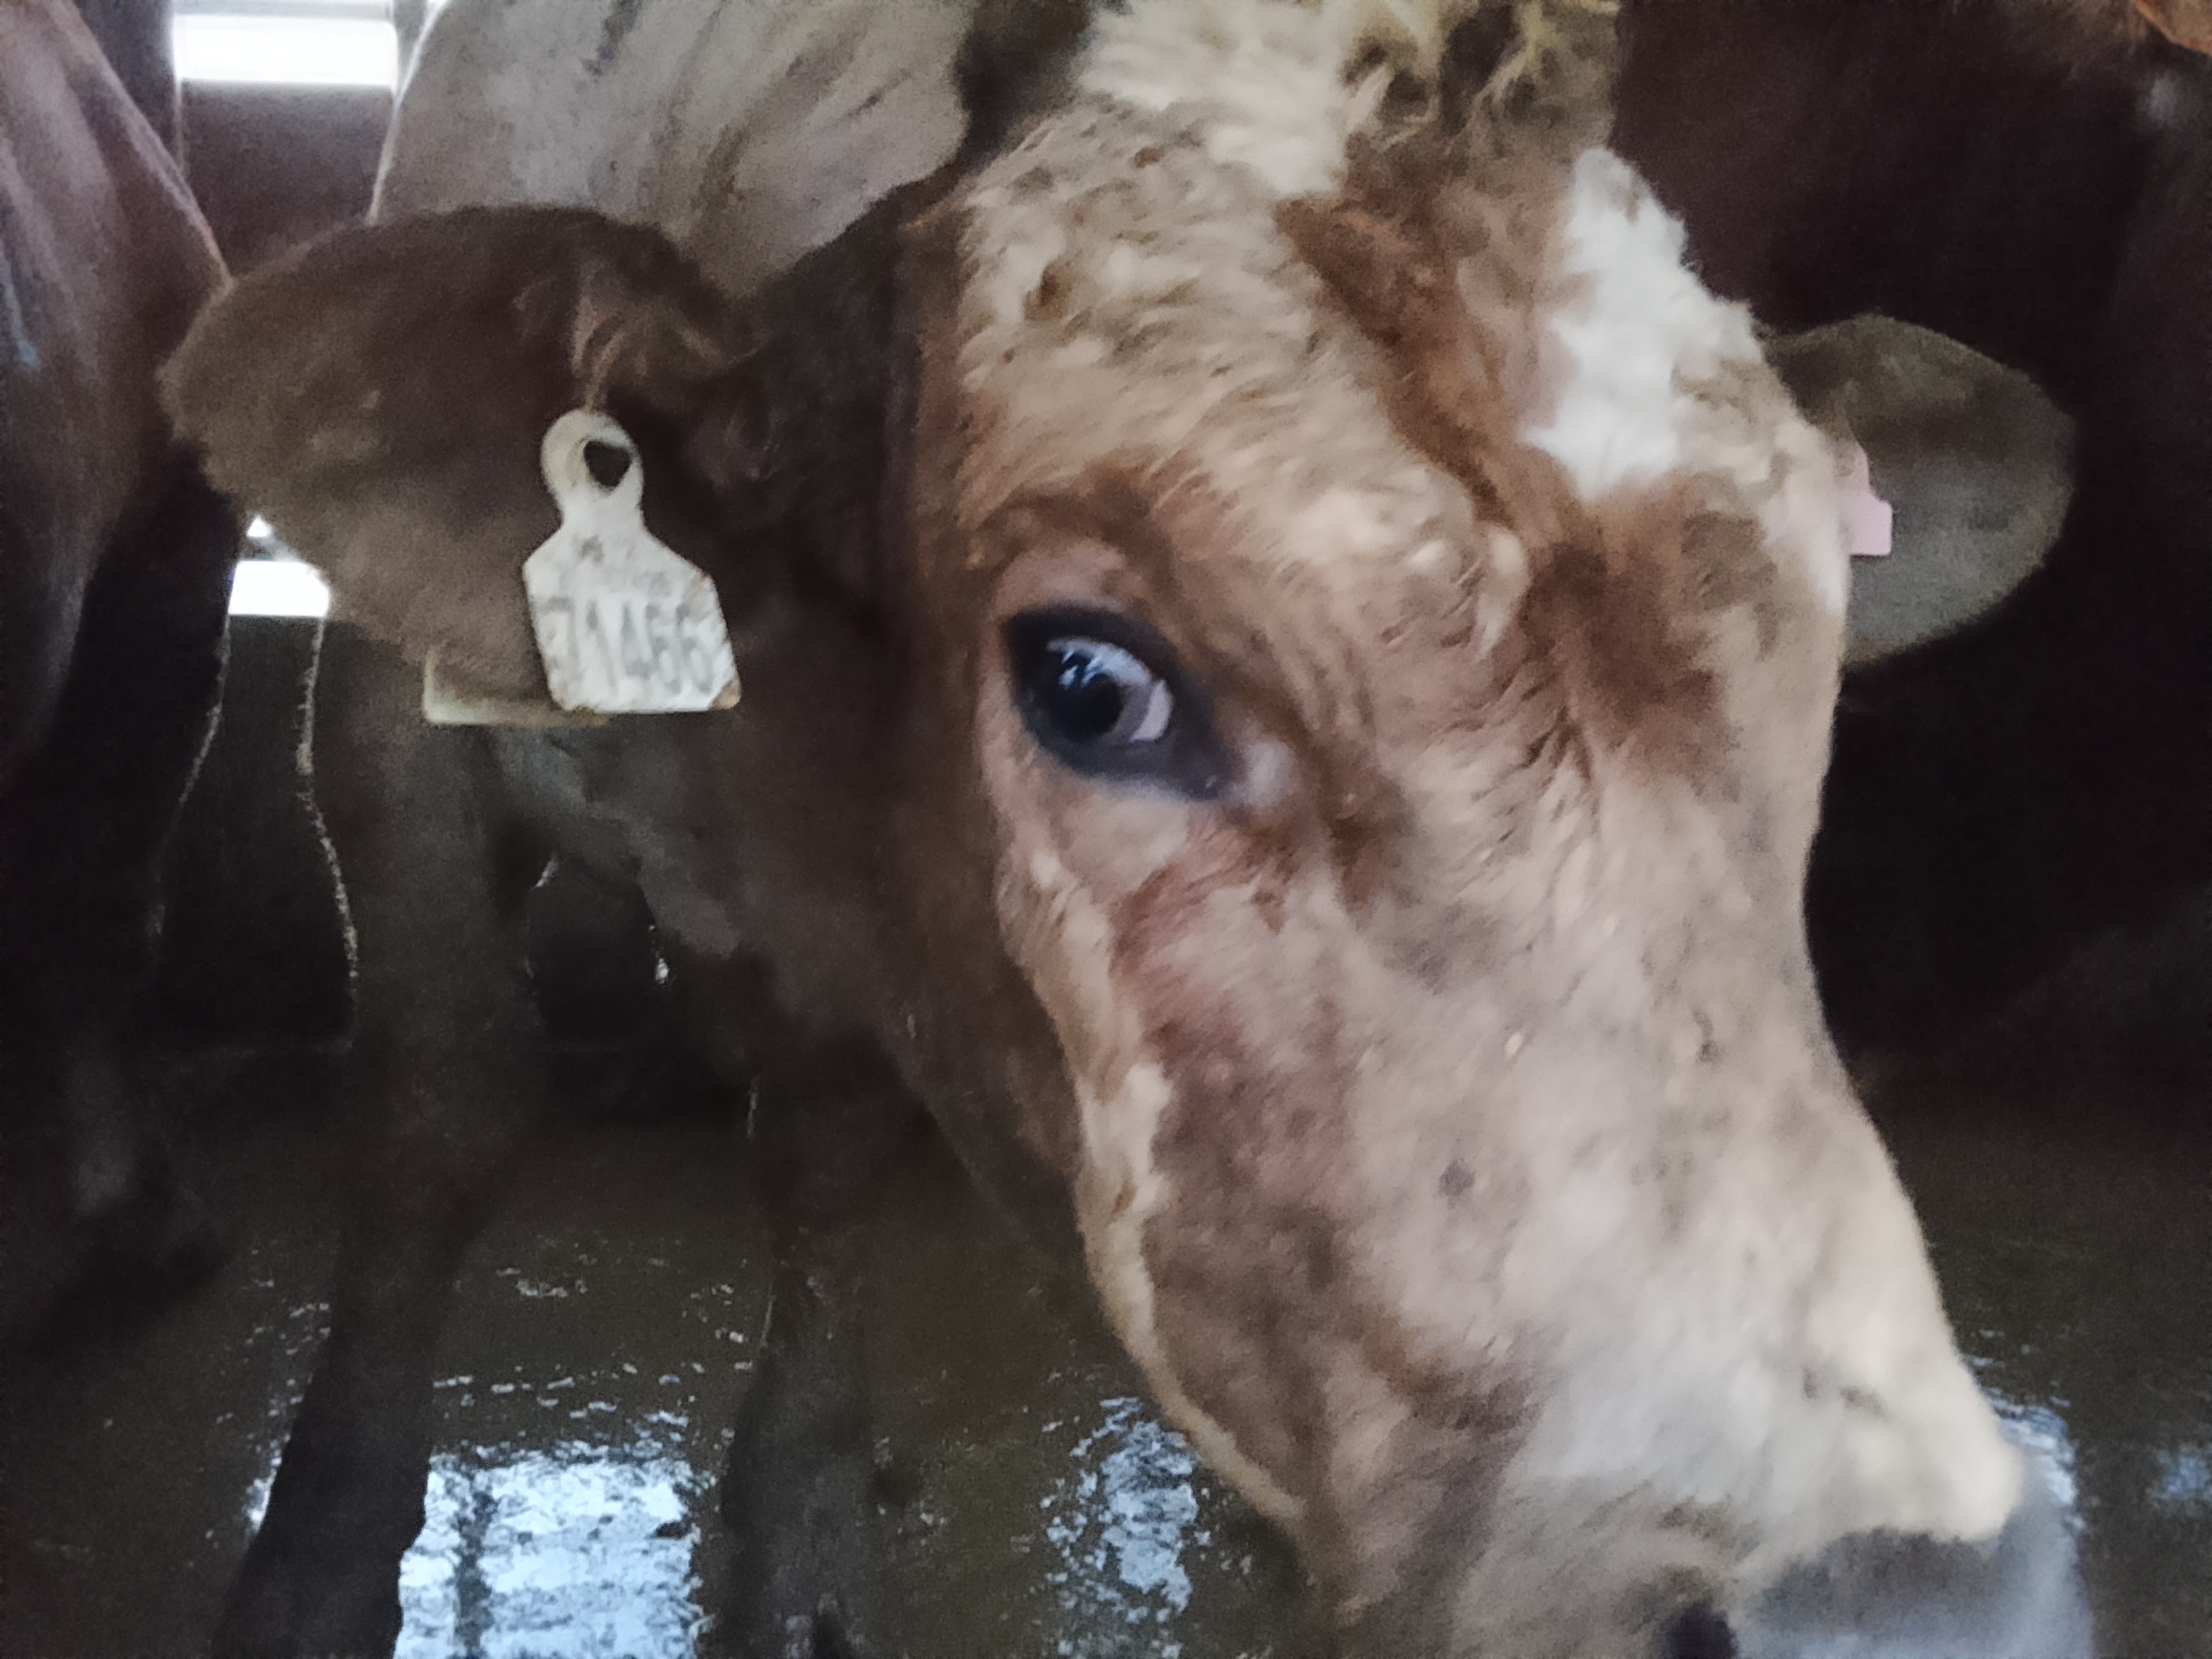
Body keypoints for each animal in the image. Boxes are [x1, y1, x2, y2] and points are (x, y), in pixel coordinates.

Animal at [165, 2, 2093, 1656]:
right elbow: (441, 1104)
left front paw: (800, 1526)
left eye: (1813, 647)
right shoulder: (387, 731)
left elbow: (823, 1154)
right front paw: (313, 1558)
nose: (1899, 1610)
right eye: (1090, 685)